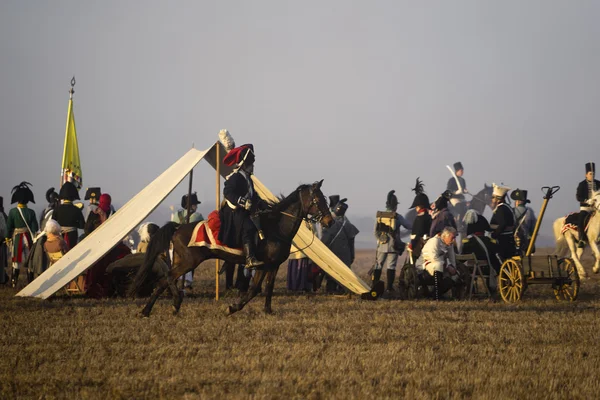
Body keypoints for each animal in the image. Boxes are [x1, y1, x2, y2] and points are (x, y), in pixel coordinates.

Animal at [128, 180, 332, 318]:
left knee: (164, 280)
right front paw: (232, 308)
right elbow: (254, 289)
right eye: (317, 199)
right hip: (189, 262)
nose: (329, 222)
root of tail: (178, 227)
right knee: (169, 277)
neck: (276, 226)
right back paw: (170, 303)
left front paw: (267, 310)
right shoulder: (262, 265)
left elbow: (266, 288)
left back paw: (152, 309)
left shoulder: (272, 266)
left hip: (181, 261)